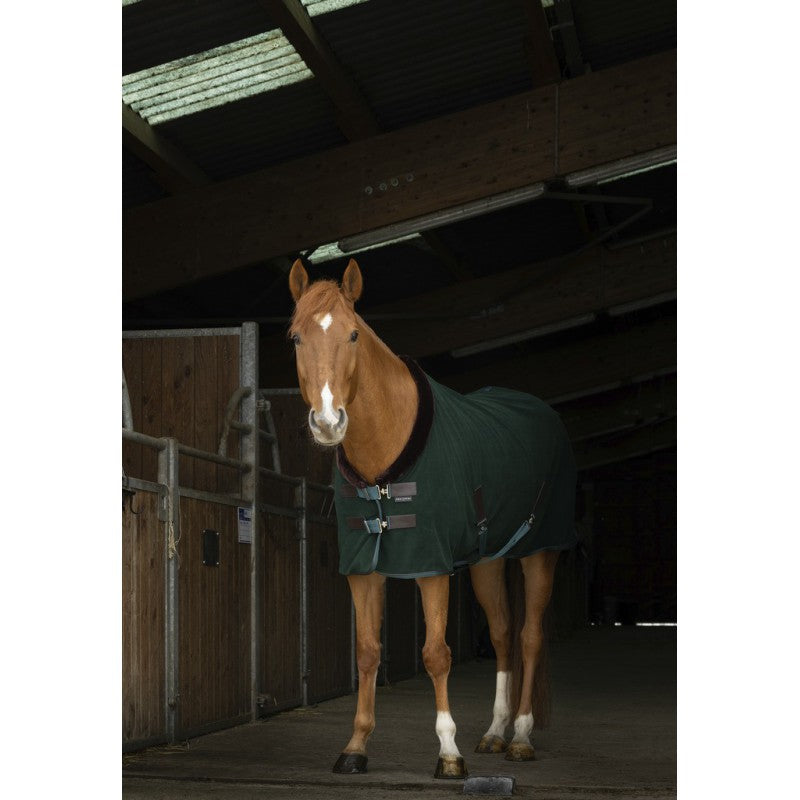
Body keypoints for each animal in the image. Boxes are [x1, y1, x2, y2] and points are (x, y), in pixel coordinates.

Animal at [287, 258, 577, 779]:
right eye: (296, 337)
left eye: (353, 335)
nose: (328, 422)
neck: (384, 460)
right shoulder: (363, 570)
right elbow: (367, 653)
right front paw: (356, 747)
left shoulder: (431, 567)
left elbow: (436, 654)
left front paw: (448, 752)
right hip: (487, 562)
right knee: (502, 634)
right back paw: (494, 733)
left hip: (540, 552)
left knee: (529, 638)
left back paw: (521, 737)